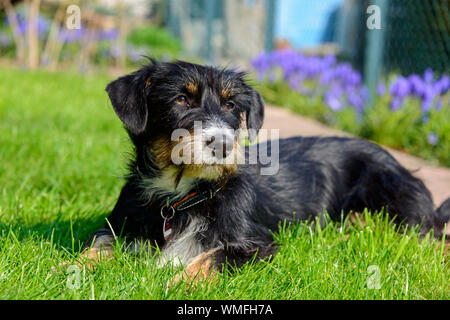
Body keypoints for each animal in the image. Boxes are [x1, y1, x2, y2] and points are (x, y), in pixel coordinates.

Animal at [81, 59, 450, 282]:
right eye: (181, 100)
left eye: (231, 105)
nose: (223, 145)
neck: (182, 194)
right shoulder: (119, 225)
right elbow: (97, 246)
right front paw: (73, 269)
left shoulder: (256, 244)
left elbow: (212, 259)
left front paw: (176, 283)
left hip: (393, 203)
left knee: (427, 236)